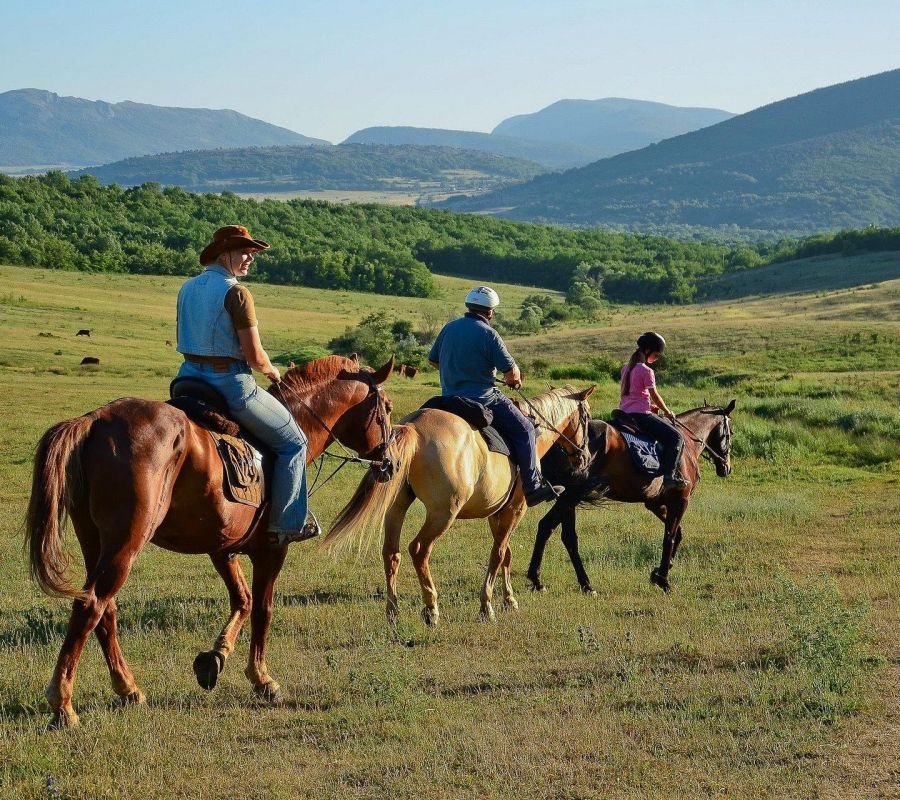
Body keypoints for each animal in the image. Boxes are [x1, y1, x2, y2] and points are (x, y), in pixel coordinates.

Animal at [26, 354, 392, 728]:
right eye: (387, 408)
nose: (389, 463)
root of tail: (94, 421)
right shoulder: (272, 548)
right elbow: (263, 609)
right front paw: (262, 678)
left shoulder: (223, 547)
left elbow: (242, 600)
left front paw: (215, 658)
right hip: (126, 542)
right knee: (91, 606)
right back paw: (63, 703)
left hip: (94, 541)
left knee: (104, 609)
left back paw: (128, 689)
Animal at [320, 386, 596, 624]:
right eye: (586, 418)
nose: (584, 458)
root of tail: (413, 427)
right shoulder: (515, 509)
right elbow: (497, 554)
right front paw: (487, 605)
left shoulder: (497, 513)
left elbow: (505, 553)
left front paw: (509, 600)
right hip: (443, 513)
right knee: (419, 549)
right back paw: (431, 607)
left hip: (397, 508)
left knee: (391, 552)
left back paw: (392, 612)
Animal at [528, 400, 732, 592]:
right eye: (730, 433)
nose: (726, 468)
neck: (687, 444)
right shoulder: (680, 500)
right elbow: (670, 536)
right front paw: (663, 579)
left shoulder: (655, 503)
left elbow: (678, 534)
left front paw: (658, 572)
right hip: (571, 496)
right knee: (559, 532)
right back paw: (575, 583)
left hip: (568, 497)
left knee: (552, 530)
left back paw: (549, 581)